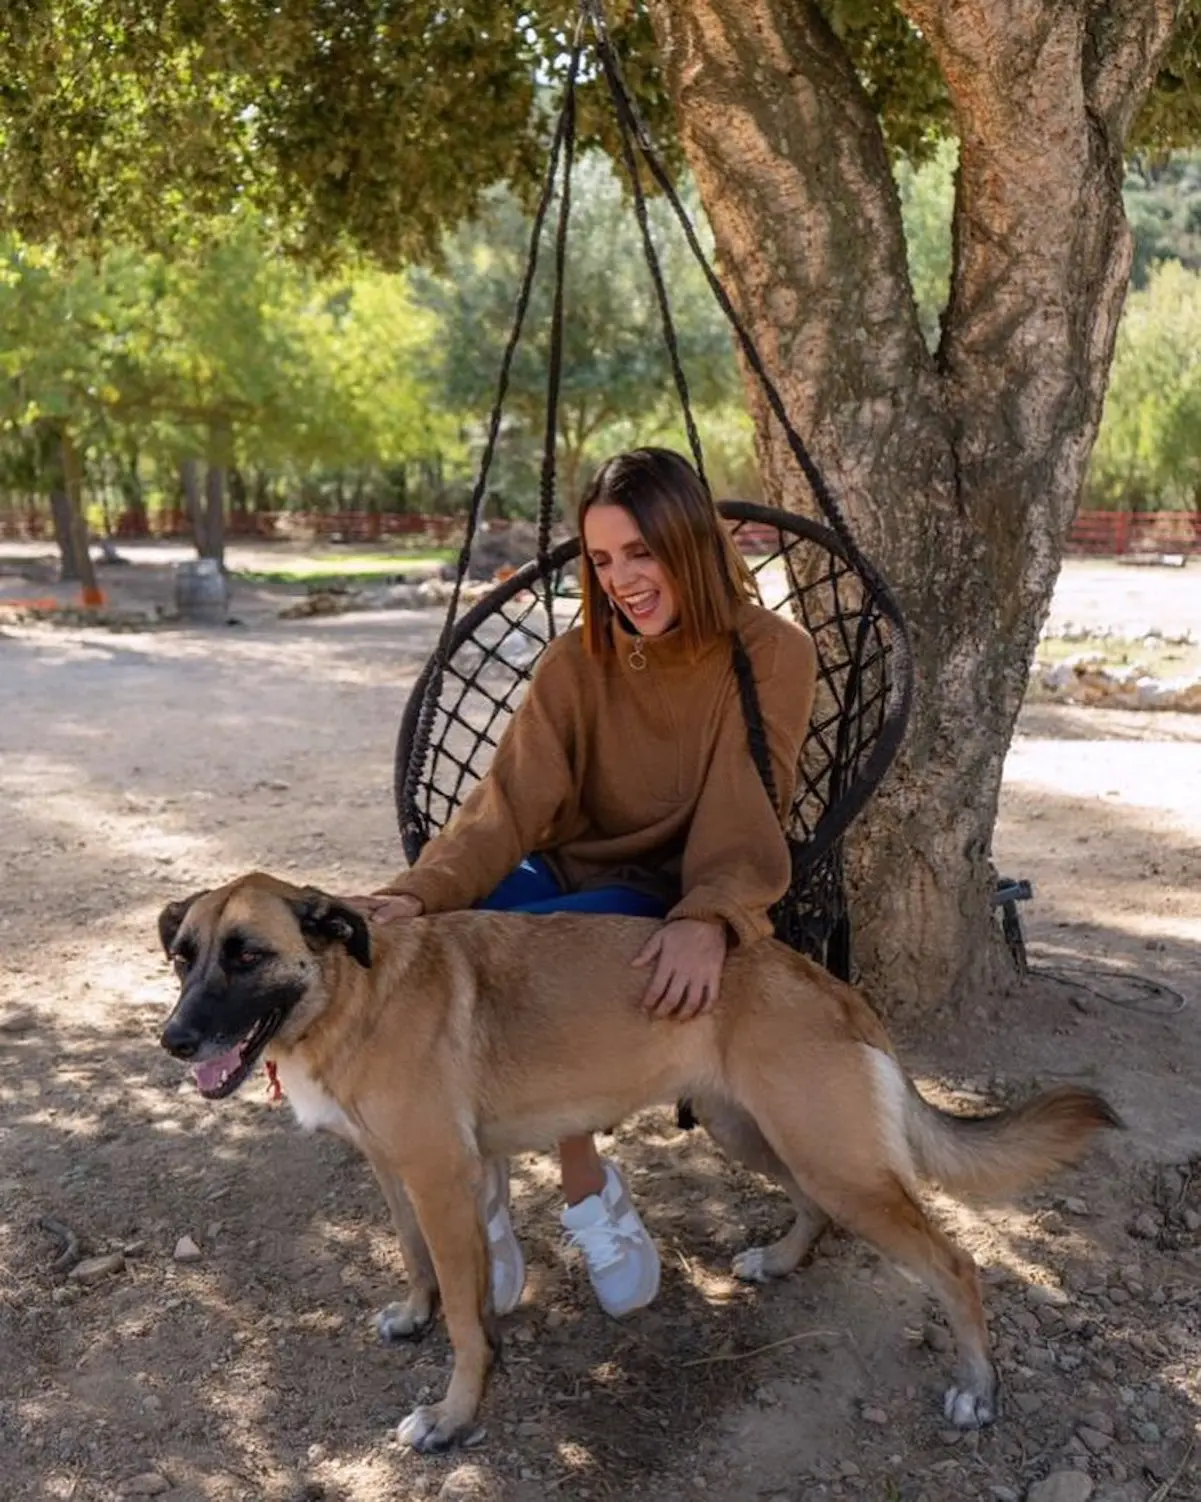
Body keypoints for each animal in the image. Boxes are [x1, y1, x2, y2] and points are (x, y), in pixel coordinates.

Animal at [154, 877, 1122, 1447]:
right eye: (182, 959)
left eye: (248, 956)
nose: (173, 1040)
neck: (352, 991)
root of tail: (831, 986)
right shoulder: (397, 1175)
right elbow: (417, 1260)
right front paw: (416, 1313)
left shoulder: (436, 1177)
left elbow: (468, 1321)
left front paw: (454, 1414)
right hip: (757, 1134)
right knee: (811, 1207)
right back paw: (777, 1260)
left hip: (831, 1159)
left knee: (955, 1265)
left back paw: (977, 1390)